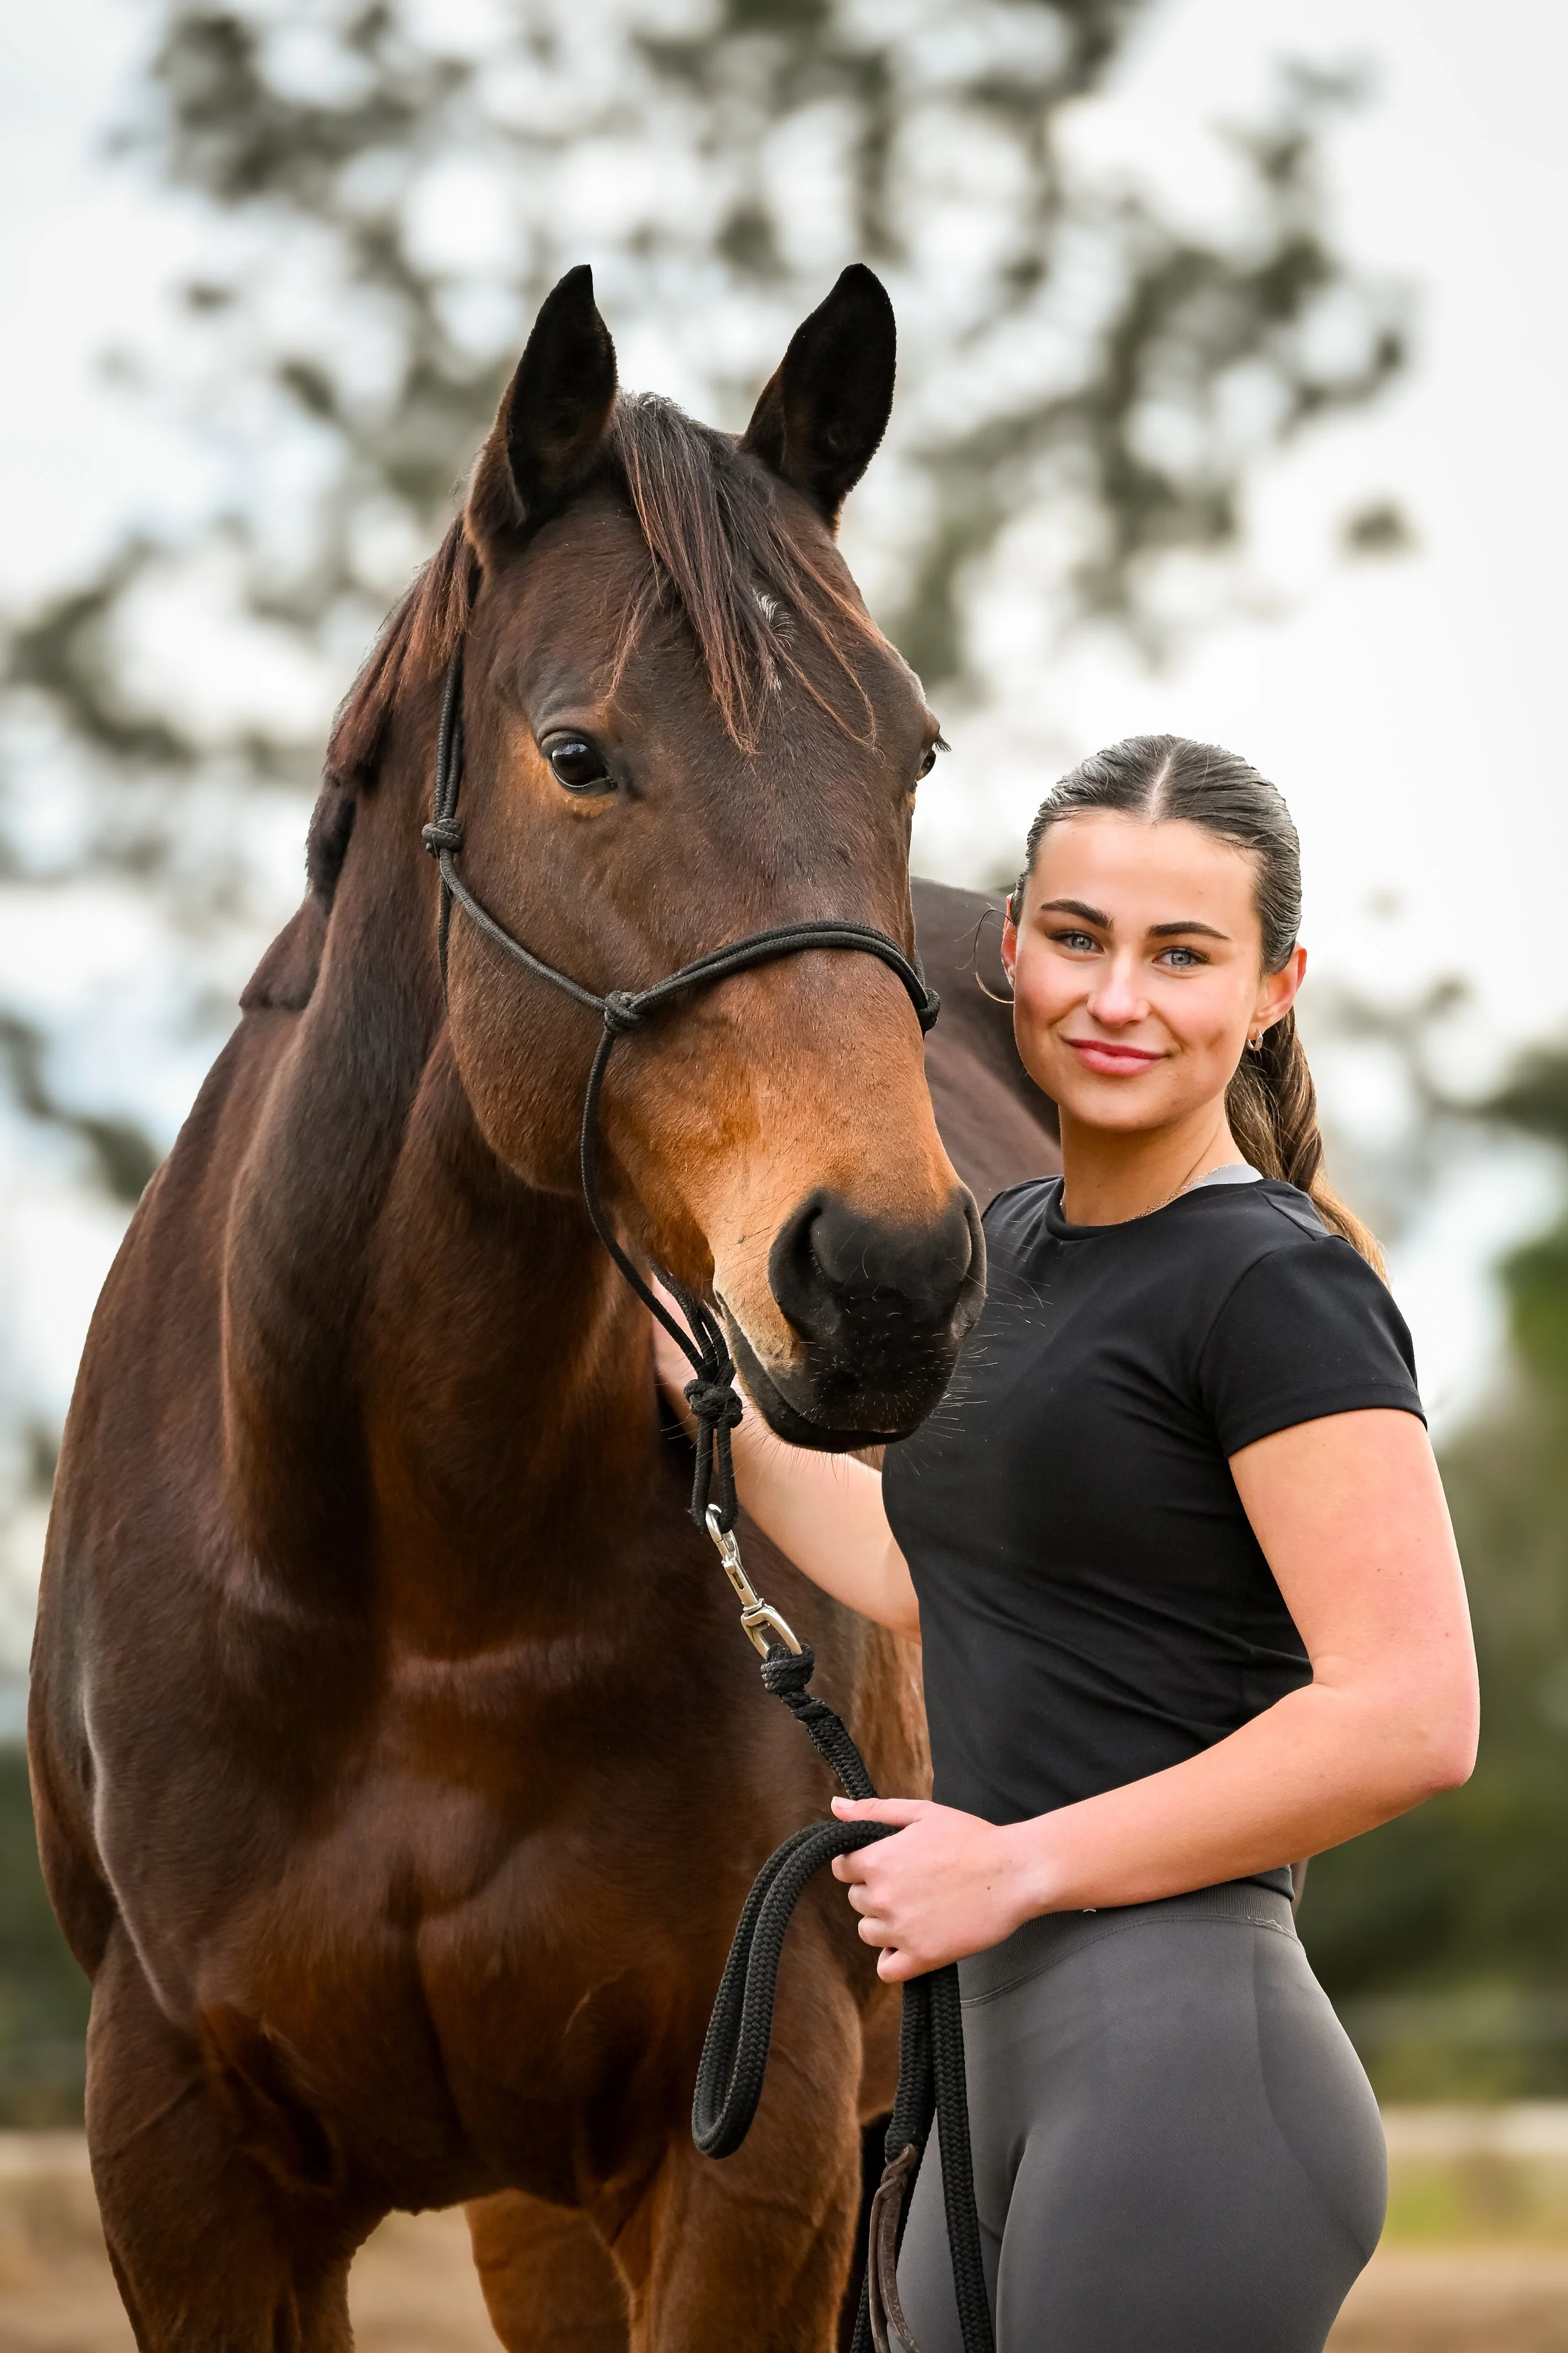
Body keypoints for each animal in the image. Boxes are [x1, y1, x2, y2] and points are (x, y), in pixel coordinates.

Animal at [29, 263, 1058, 2350]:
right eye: (576, 752)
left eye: (906, 749)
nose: (890, 1280)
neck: (412, 1589)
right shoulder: (184, 2163)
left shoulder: (755, 2150)